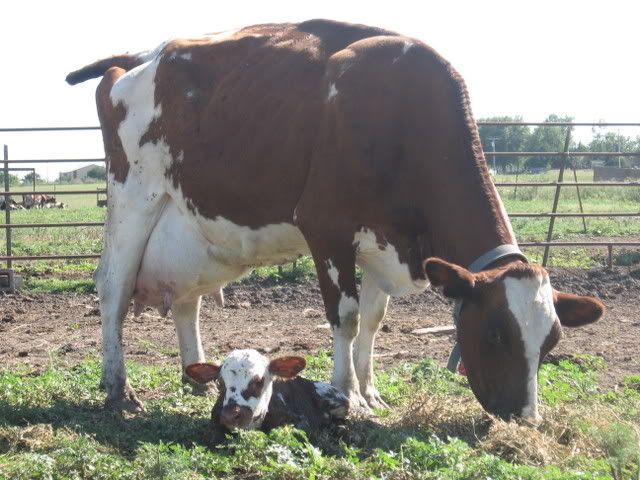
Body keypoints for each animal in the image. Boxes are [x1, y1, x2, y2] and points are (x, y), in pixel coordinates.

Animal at [66, 19, 604, 421]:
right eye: (495, 333)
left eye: (551, 341)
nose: (525, 417)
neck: (401, 114)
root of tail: (139, 57)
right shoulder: (326, 227)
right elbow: (345, 315)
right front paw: (346, 396)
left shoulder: (386, 241)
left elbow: (373, 319)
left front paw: (370, 393)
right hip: (134, 196)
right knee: (112, 288)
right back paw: (118, 389)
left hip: (192, 229)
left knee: (186, 302)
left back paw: (199, 376)